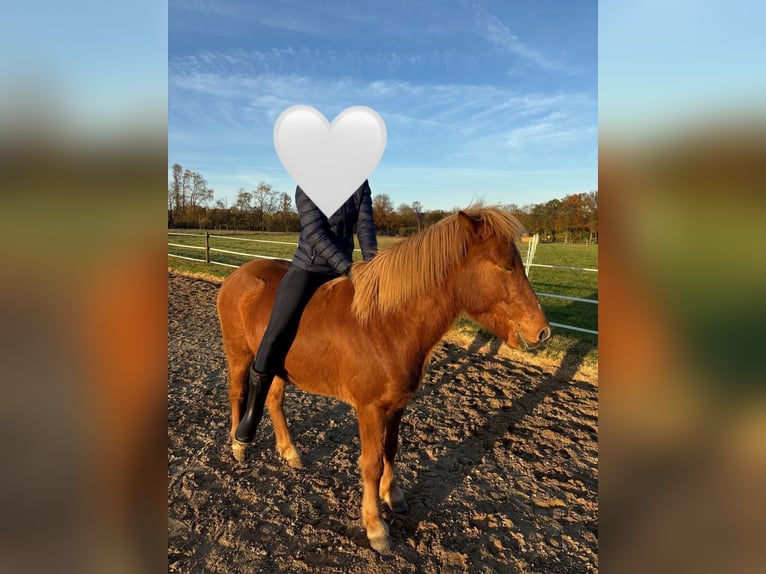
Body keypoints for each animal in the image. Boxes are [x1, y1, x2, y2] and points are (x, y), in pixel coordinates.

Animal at [216, 207, 551, 554]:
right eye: (504, 266)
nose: (542, 332)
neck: (386, 324)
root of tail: (237, 276)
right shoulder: (370, 409)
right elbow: (372, 463)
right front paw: (376, 527)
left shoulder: (397, 405)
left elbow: (390, 449)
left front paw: (394, 495)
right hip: (240, 355)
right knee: (238, 392)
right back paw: (239, 443)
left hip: (280, 365)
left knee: (274, 400)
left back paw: (289, 451)